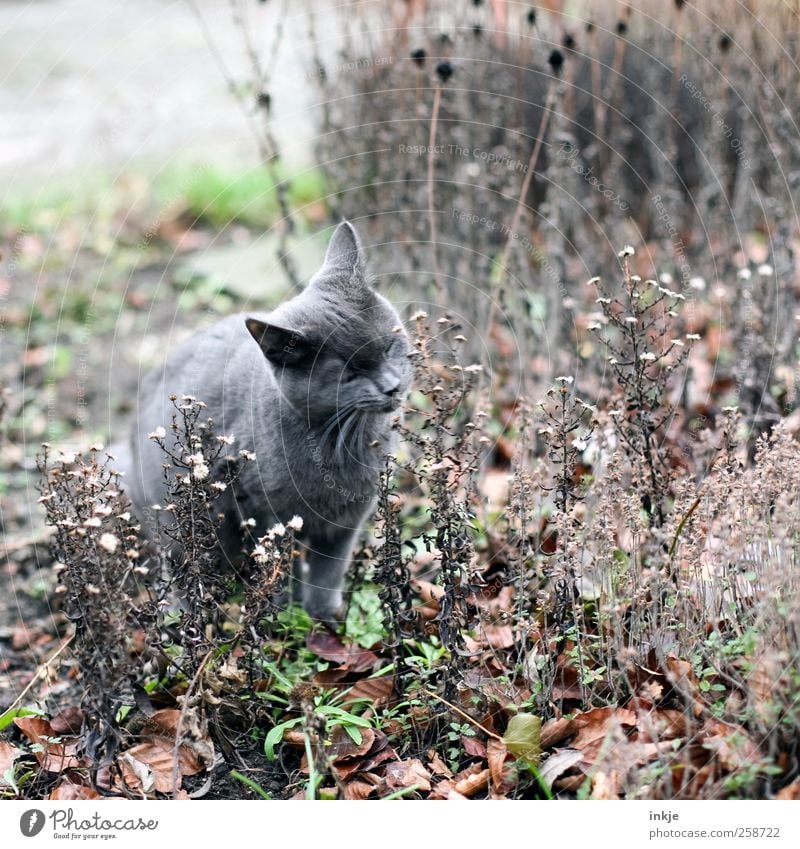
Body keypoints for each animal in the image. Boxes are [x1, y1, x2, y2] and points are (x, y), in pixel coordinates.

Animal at [122, 224, 416, 624]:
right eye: (351, 372)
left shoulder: (347, 521)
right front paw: (285, 615)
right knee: (178, 569)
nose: (392, 386)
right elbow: (282, 572)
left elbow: (329, 570)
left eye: (389, 346)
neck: (341, 441)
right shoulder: (266, 514)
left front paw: (324, 616)